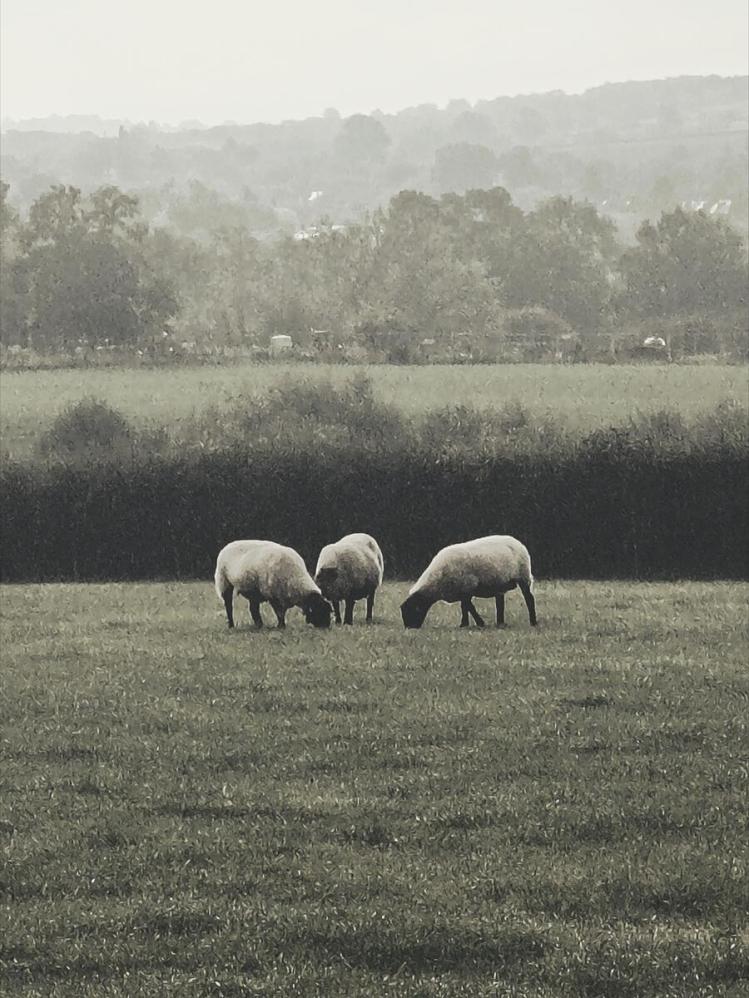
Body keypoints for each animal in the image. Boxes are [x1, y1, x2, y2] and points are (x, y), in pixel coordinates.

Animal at [400, 535, 537, 629]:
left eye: (412, 610)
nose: (409, 628)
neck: (437, 583)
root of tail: (517, 541)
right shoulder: (462, 591)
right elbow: (465, 607)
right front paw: (465, 624)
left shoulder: (467, 586)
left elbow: (468, 606)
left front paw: (477, 623)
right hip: (499, 582)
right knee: (500, 602)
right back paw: (500, 622)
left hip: (523, 576)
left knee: (529, 599)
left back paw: (533, 622)